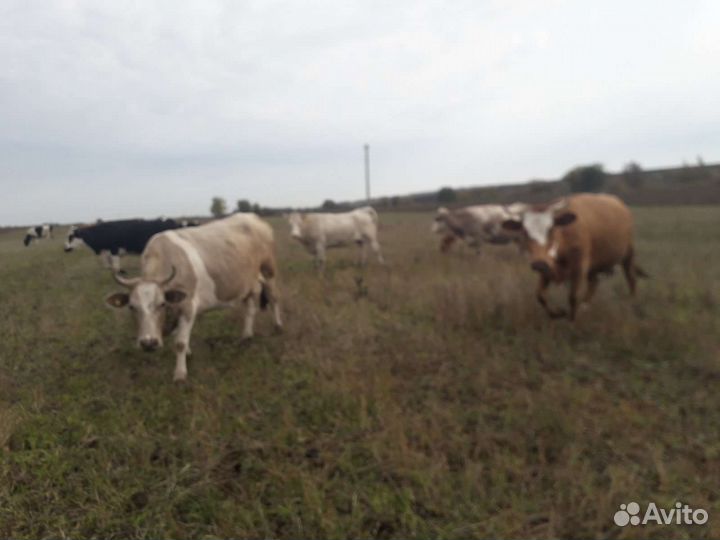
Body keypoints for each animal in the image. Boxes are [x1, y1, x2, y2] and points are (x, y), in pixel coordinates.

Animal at [105, 213, 282, 382]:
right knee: (250, 307)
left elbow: (180, 343)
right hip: (247, 283)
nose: (149, 343)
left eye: (162, 304)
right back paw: (246, 335)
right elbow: (179, 337)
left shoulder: (187, 305)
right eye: (132, 307)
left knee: (273, 298)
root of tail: (253, 217)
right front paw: (188, 354)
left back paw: (278, 326)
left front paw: (180, 373)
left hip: (269, 271)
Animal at [501, 193, 647, 321]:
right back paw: (585, 306)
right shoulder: (547, 268)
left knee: (631, 278)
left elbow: (572, 297)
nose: (538, 264)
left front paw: (571, 321)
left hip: (628, 254)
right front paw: (557, 314)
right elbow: (540, 296)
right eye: (525, 231)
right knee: (594, 283)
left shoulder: (579, 266)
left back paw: (631, 301)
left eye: (551, 229)